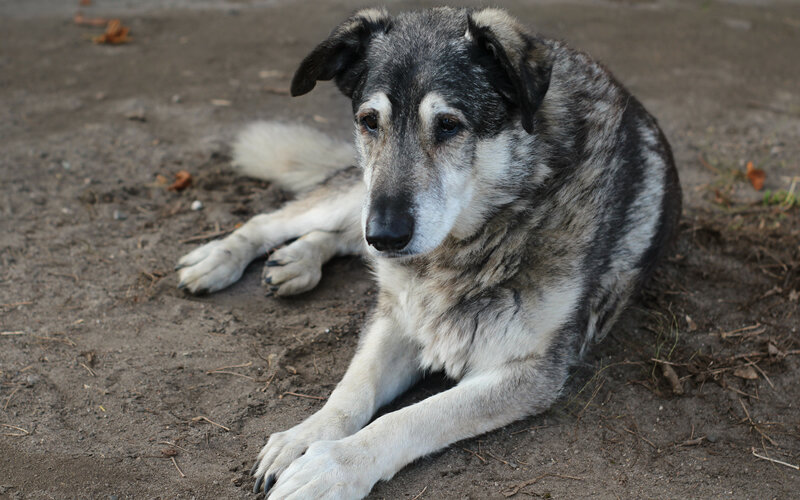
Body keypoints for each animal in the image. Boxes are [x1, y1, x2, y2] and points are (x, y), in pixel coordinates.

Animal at [175, 5, 680, 498]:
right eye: (369, 121)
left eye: (449, 125)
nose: (386, 235)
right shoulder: (398, 317)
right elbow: (351, 392)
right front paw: (305, 437)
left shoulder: (530, 372)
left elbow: (409, 418)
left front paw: (331, 468)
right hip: (359, 197)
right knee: (281, 221)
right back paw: (221, 259)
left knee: (340, 237)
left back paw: (298, 260)